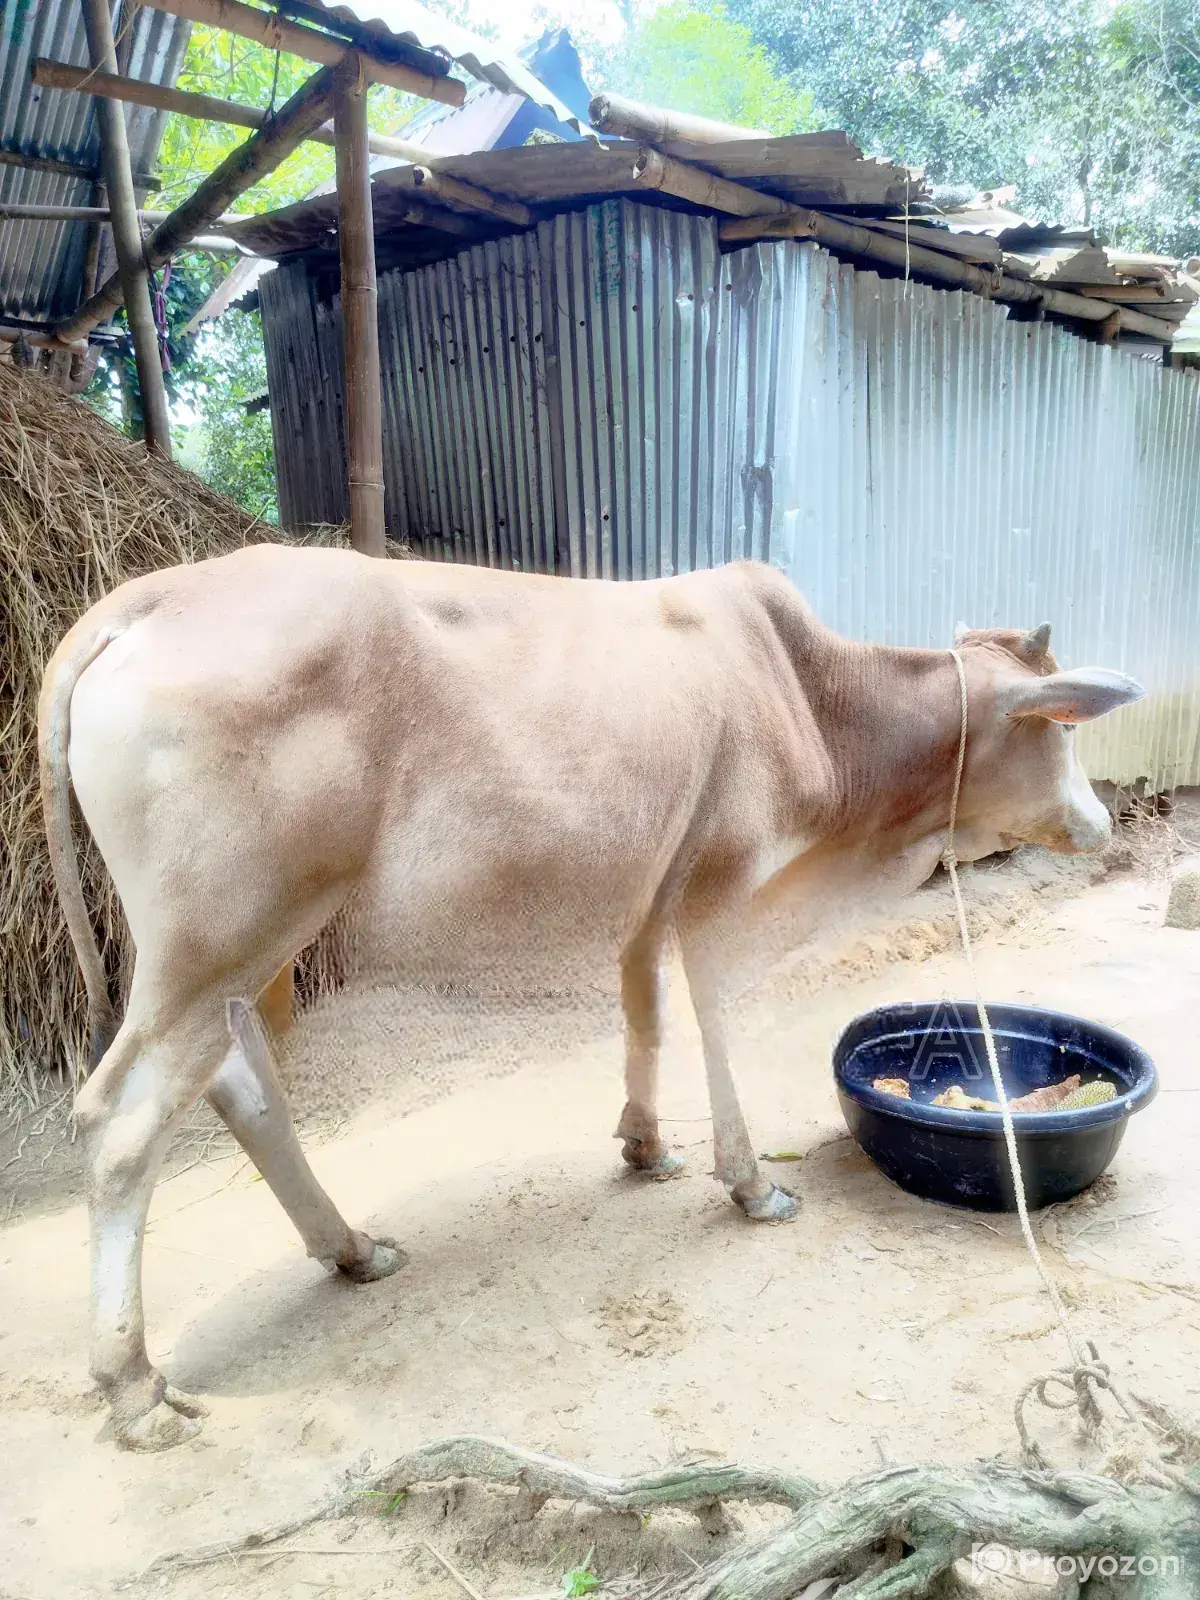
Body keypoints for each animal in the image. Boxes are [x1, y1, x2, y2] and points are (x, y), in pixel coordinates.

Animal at [39, 547, 1142, 1450]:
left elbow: (644, 1012)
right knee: (124, 1122)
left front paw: (645, 1144)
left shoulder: (651, 893)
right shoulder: (716, 890)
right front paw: (751, 1184)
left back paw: (349, 1248)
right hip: (225, 934)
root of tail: (140, 599)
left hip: (223, 948)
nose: (1101, 822)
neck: (811, 699)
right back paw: (133, 1385)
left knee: (237, 1082)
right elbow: (713, 1024)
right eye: (1060, 735)